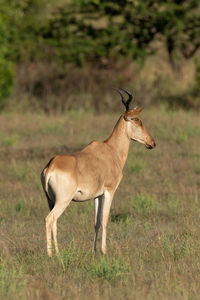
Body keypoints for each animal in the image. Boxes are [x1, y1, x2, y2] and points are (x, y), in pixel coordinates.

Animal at [41, 89, 156, 258]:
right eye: (137, 120)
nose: (152, 143)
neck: (111, 150)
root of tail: (51, 165)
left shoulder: (97, 195)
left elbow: (96, 222)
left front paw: (94, 250)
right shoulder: (109, 190)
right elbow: (105, 220)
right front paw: (104, 251)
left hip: (51, 200)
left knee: (54, 222)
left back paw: (58, 253)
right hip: (63, 200)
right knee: (50, 219)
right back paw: (51, 255)